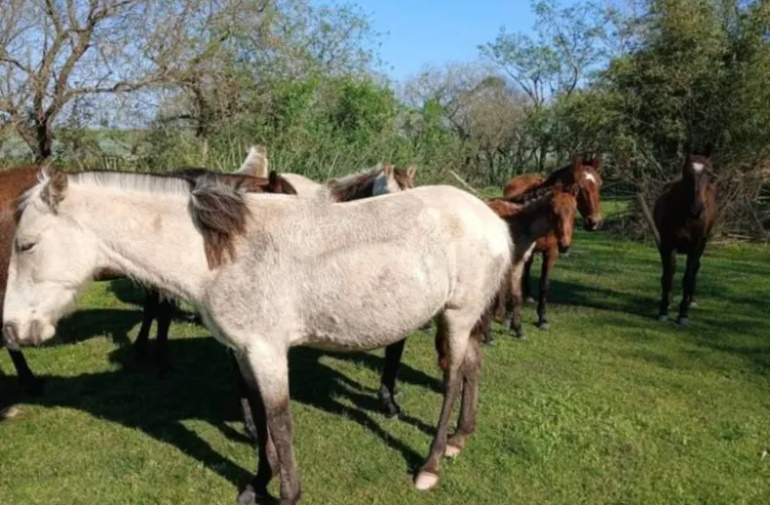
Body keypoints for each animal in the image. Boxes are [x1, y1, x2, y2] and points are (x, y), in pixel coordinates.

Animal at [3, 170, 512, 504]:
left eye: (26, 245)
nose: (11, 328)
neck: (222, 255)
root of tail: (492, 219)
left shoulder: (268, 352)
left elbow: (280, 422)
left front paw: (288, 493)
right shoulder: (244, 352)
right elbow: (260, 417)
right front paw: (258, 483)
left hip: (456, 316)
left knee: (452, 380)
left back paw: (430, 465)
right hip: (466, 319)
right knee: (473, 367)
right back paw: (460, 438)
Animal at [377, 186, 577, 418]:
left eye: (574, 211)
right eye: (554, 211)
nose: (564, 246)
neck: (517, 225)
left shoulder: (516, 266)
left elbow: (516, 297)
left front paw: (517, 329)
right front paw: (489, 336)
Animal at [503, 155, 603, 330]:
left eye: (600, 184)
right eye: (580, 187)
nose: (594, 223)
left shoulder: (552, 252)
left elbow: (544, 285)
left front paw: (542, 318)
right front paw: (508, 316)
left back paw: (528, 296)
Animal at [647, 150, 717, 324]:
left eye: (709, 173)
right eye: (687, 173)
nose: (696, 210)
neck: (686, 217)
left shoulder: (695, 248)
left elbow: (688, 276)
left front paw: (683, 314)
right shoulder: (668, 244)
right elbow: (668, 274)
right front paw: (663, 310)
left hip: (702, 244)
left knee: (696, 269)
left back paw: (691, 301)